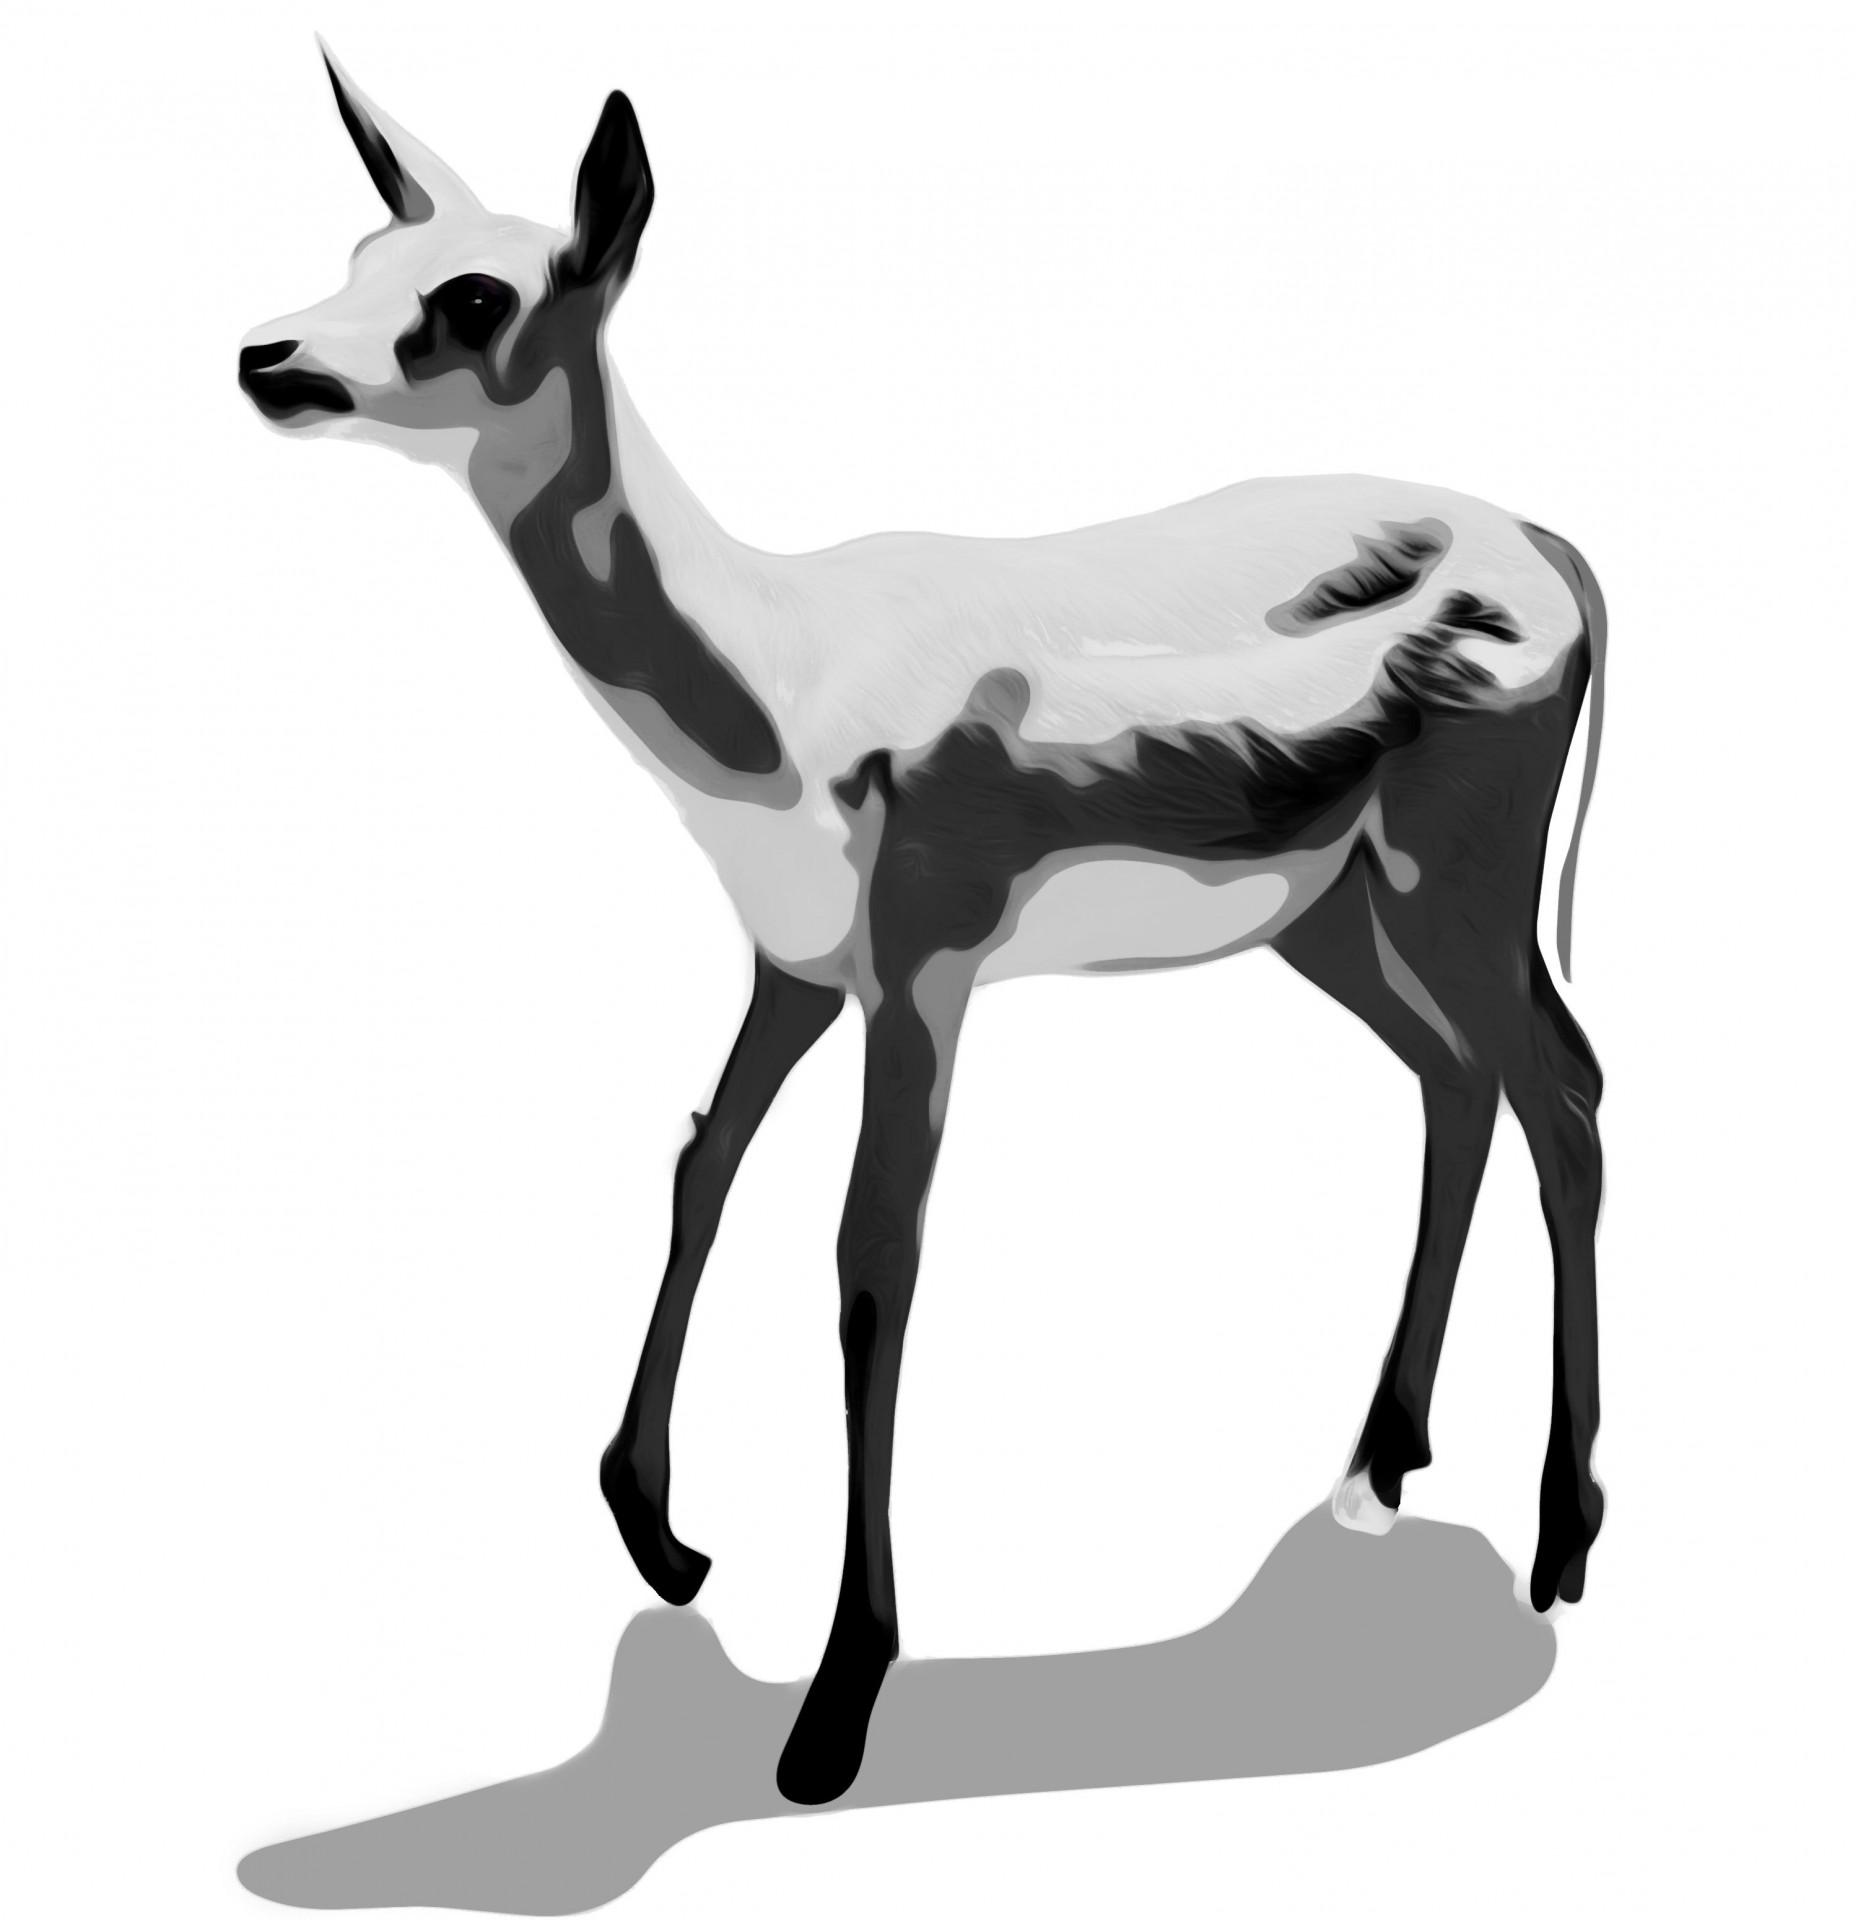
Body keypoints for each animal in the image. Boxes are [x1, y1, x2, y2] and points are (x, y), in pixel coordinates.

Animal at [240, 48, 1607, 1807]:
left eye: (473, 292)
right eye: (358, 252)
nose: (268, 359)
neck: (773, 674)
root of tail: (1546, 542)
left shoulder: (921, 974)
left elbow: (870, 1261)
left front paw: (833, 1710)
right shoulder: (797, 968)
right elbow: (700, 1163)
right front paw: (659, 1541)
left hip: (1456, 889)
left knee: (1561, 1096)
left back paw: (1559, 1547)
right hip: (1333, 915)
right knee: (1460, 1085)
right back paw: (1377, 1466)